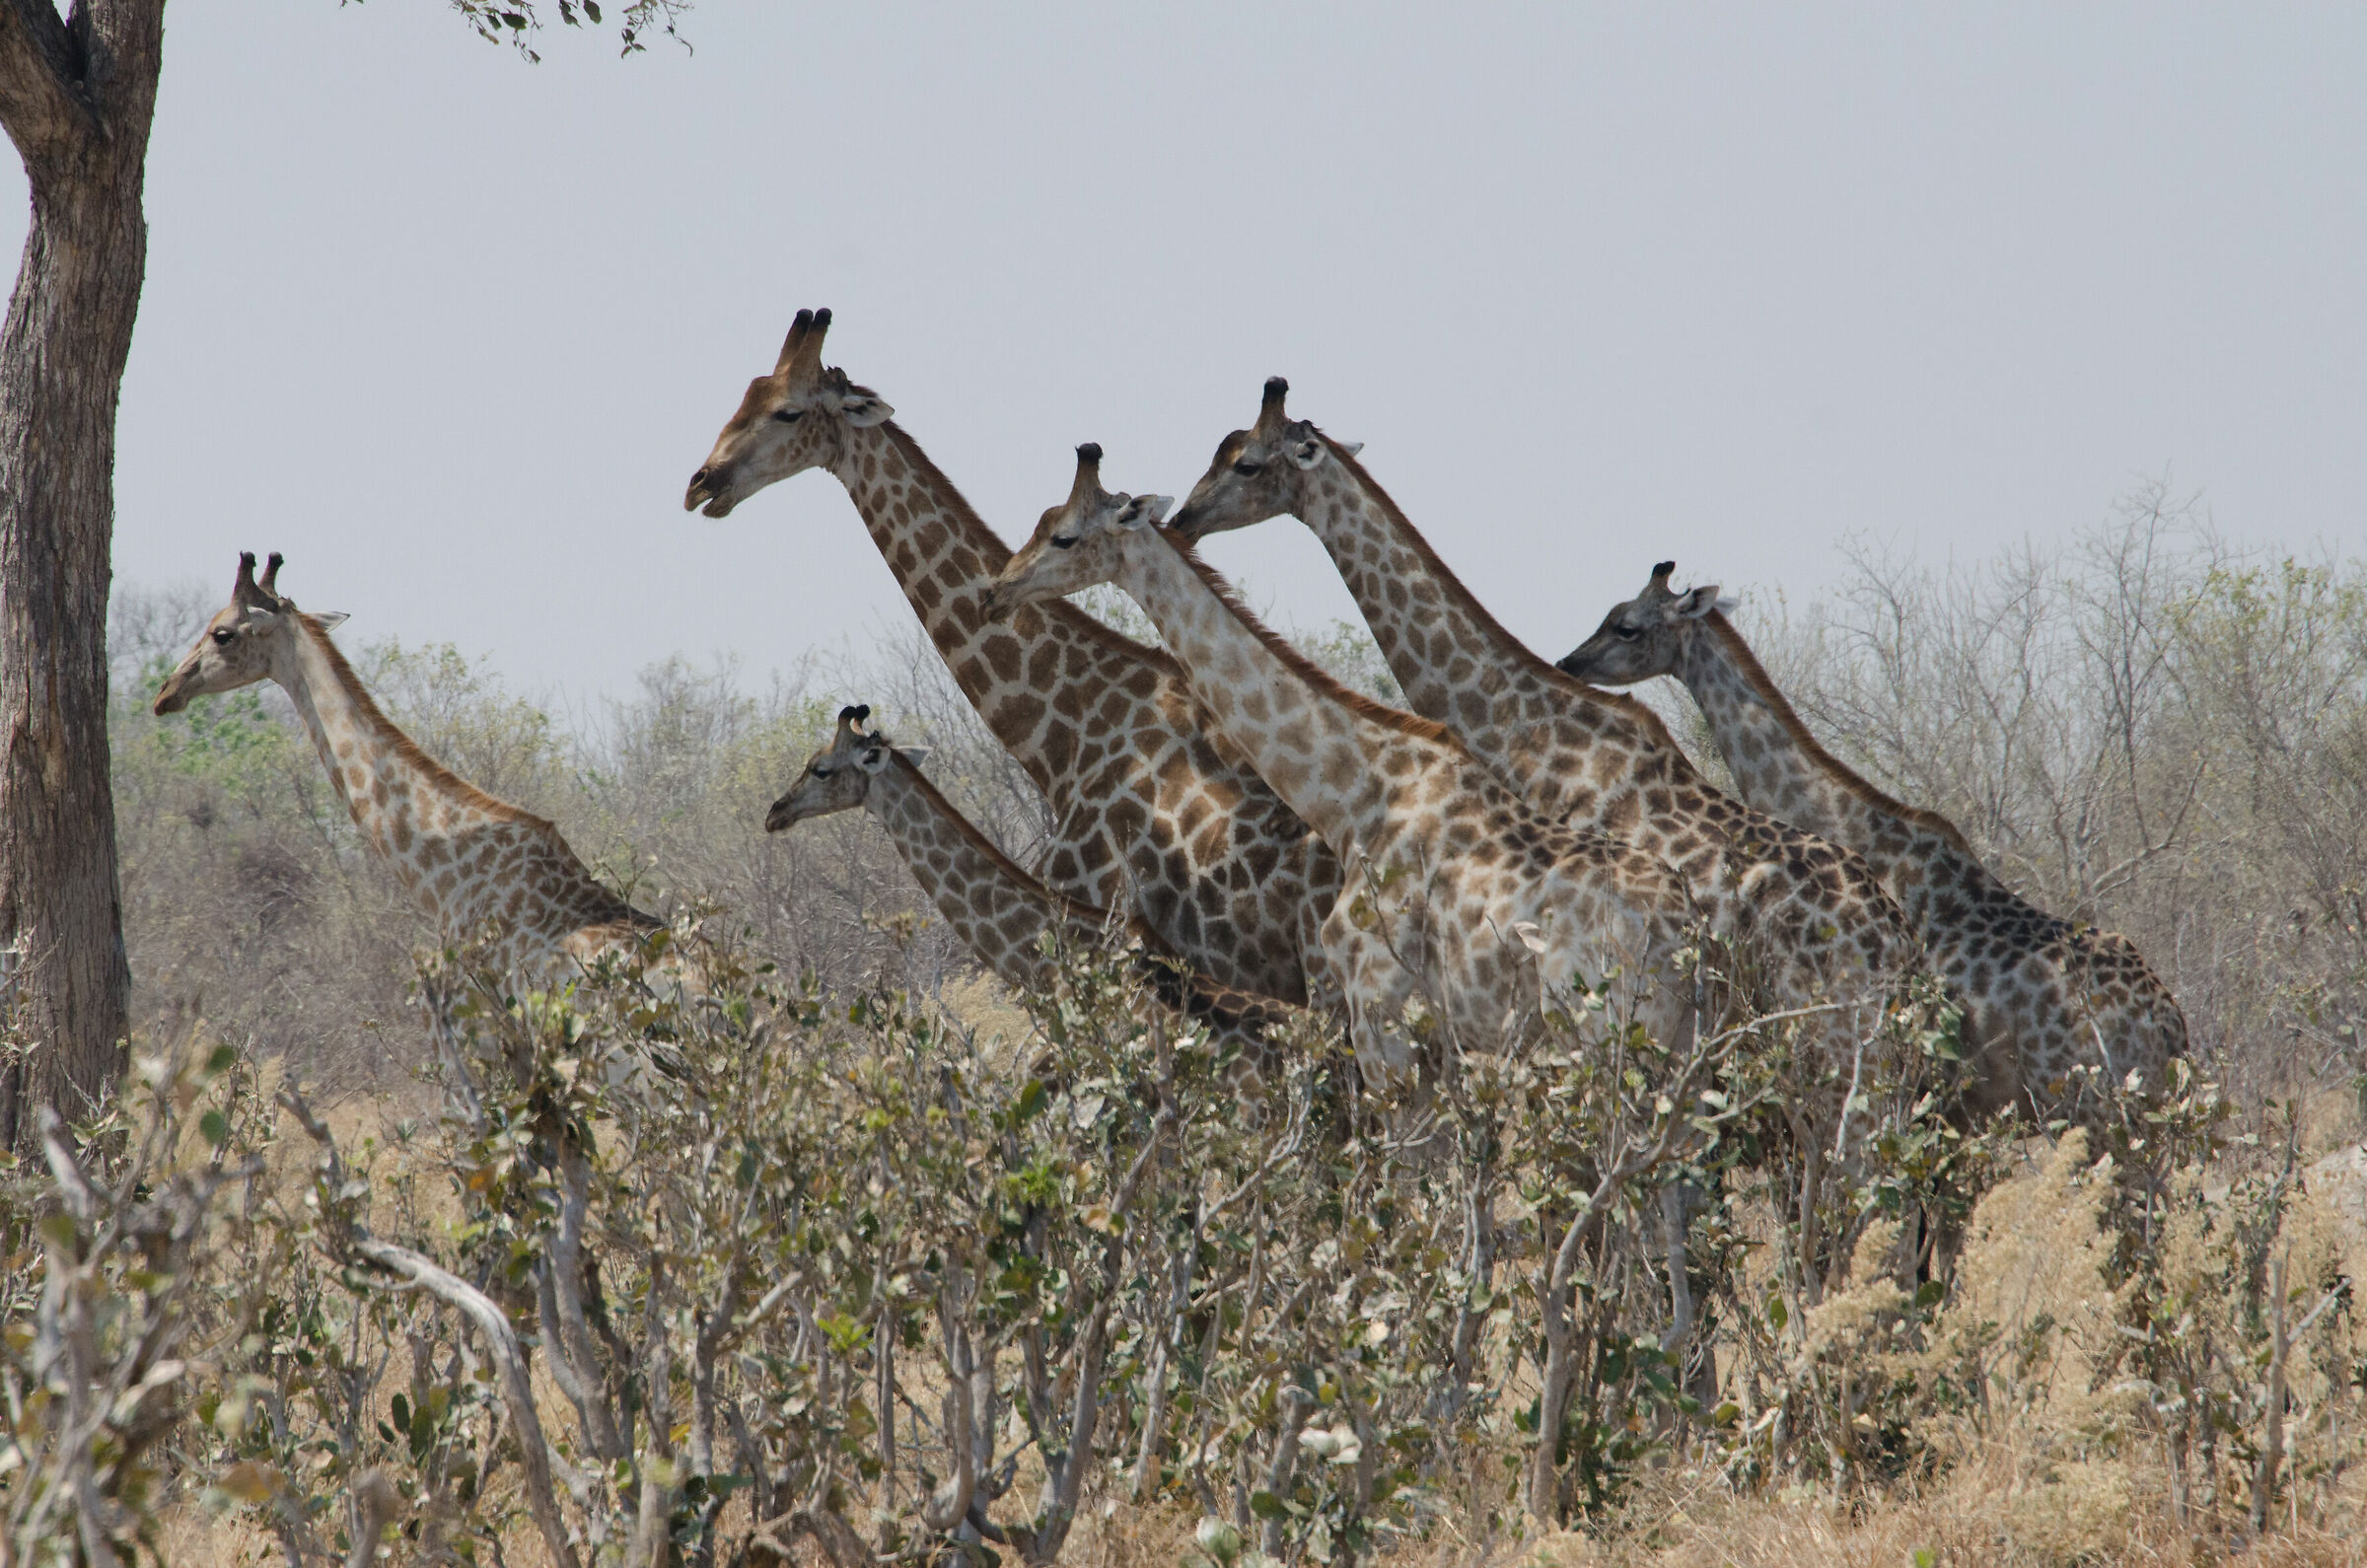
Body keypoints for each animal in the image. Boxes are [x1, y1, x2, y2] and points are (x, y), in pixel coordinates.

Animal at [981, 446, 1706, 1089]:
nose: (997, 591)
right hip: (1678, 1048)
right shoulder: (1432, 1041)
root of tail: (1681, 929)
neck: (1355, 796)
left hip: (1602, 1035)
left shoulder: (1382, 1024)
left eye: (1065, 536)